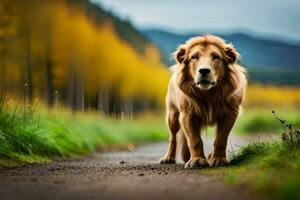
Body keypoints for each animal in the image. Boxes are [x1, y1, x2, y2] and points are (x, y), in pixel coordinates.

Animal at [159, 34, 246, 169]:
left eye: (216, 57)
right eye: (194, 57)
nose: (204, 70)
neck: (209, 94)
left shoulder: (230, 113)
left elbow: (221, 139)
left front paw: (218, 159)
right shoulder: (187, 114)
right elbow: (194, 140)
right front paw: (197, 160)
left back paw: (210, 156)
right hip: (172, 115)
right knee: (173, 137)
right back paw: (168, 158)